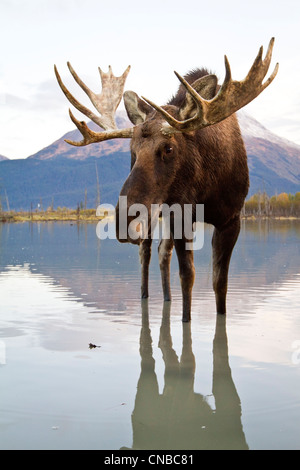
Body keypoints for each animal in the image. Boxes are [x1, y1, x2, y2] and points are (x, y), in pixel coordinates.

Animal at [54, 38, 278, 322]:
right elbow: (188, 276)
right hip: (155, 216)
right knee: (148, 254)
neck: (205, 187)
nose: (124, 221)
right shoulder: (179, 215)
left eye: (169, 148)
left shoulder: (231, 218)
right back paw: (146, 296)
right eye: (132, 151)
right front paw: (185, 319)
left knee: (163, 254)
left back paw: (167, 300)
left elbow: (219, 283)